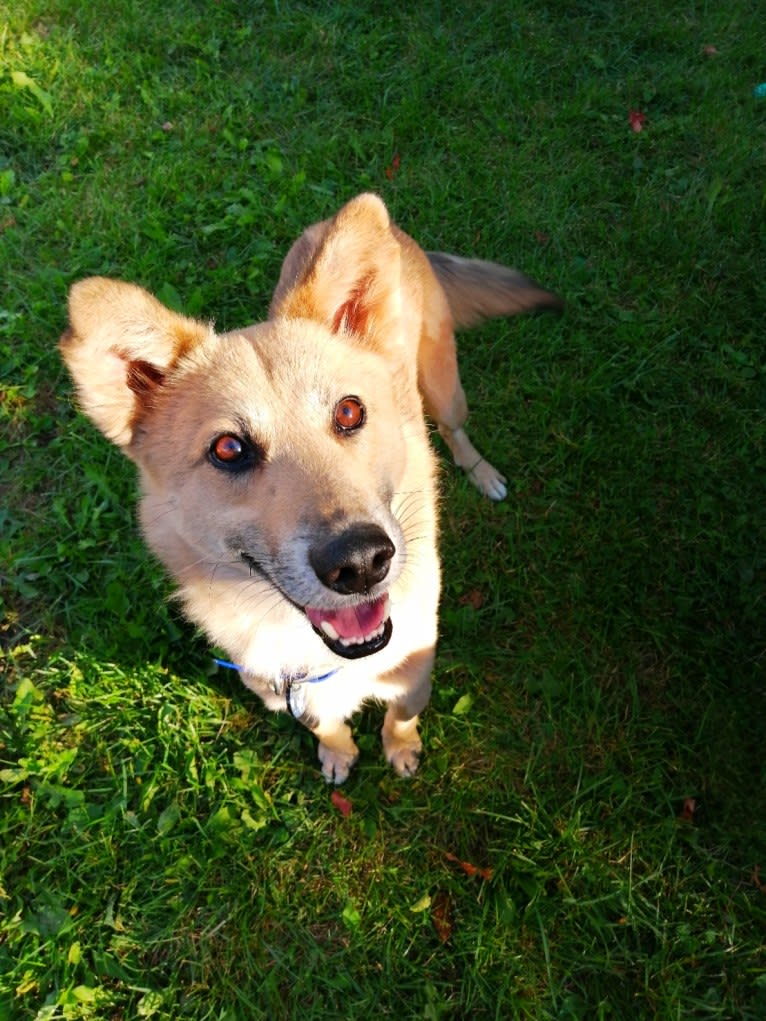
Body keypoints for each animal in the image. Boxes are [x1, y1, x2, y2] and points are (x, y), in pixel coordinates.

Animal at [60, 191, 559, 780]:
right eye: (228, 449)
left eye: (349, 412)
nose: (361, 562)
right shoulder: (284, 692)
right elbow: (324, 724)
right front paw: (338, 753)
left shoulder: (415, 675)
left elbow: (401, 718)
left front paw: (401, 750)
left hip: (443, 384)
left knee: (456, 430)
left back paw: (481, 472)